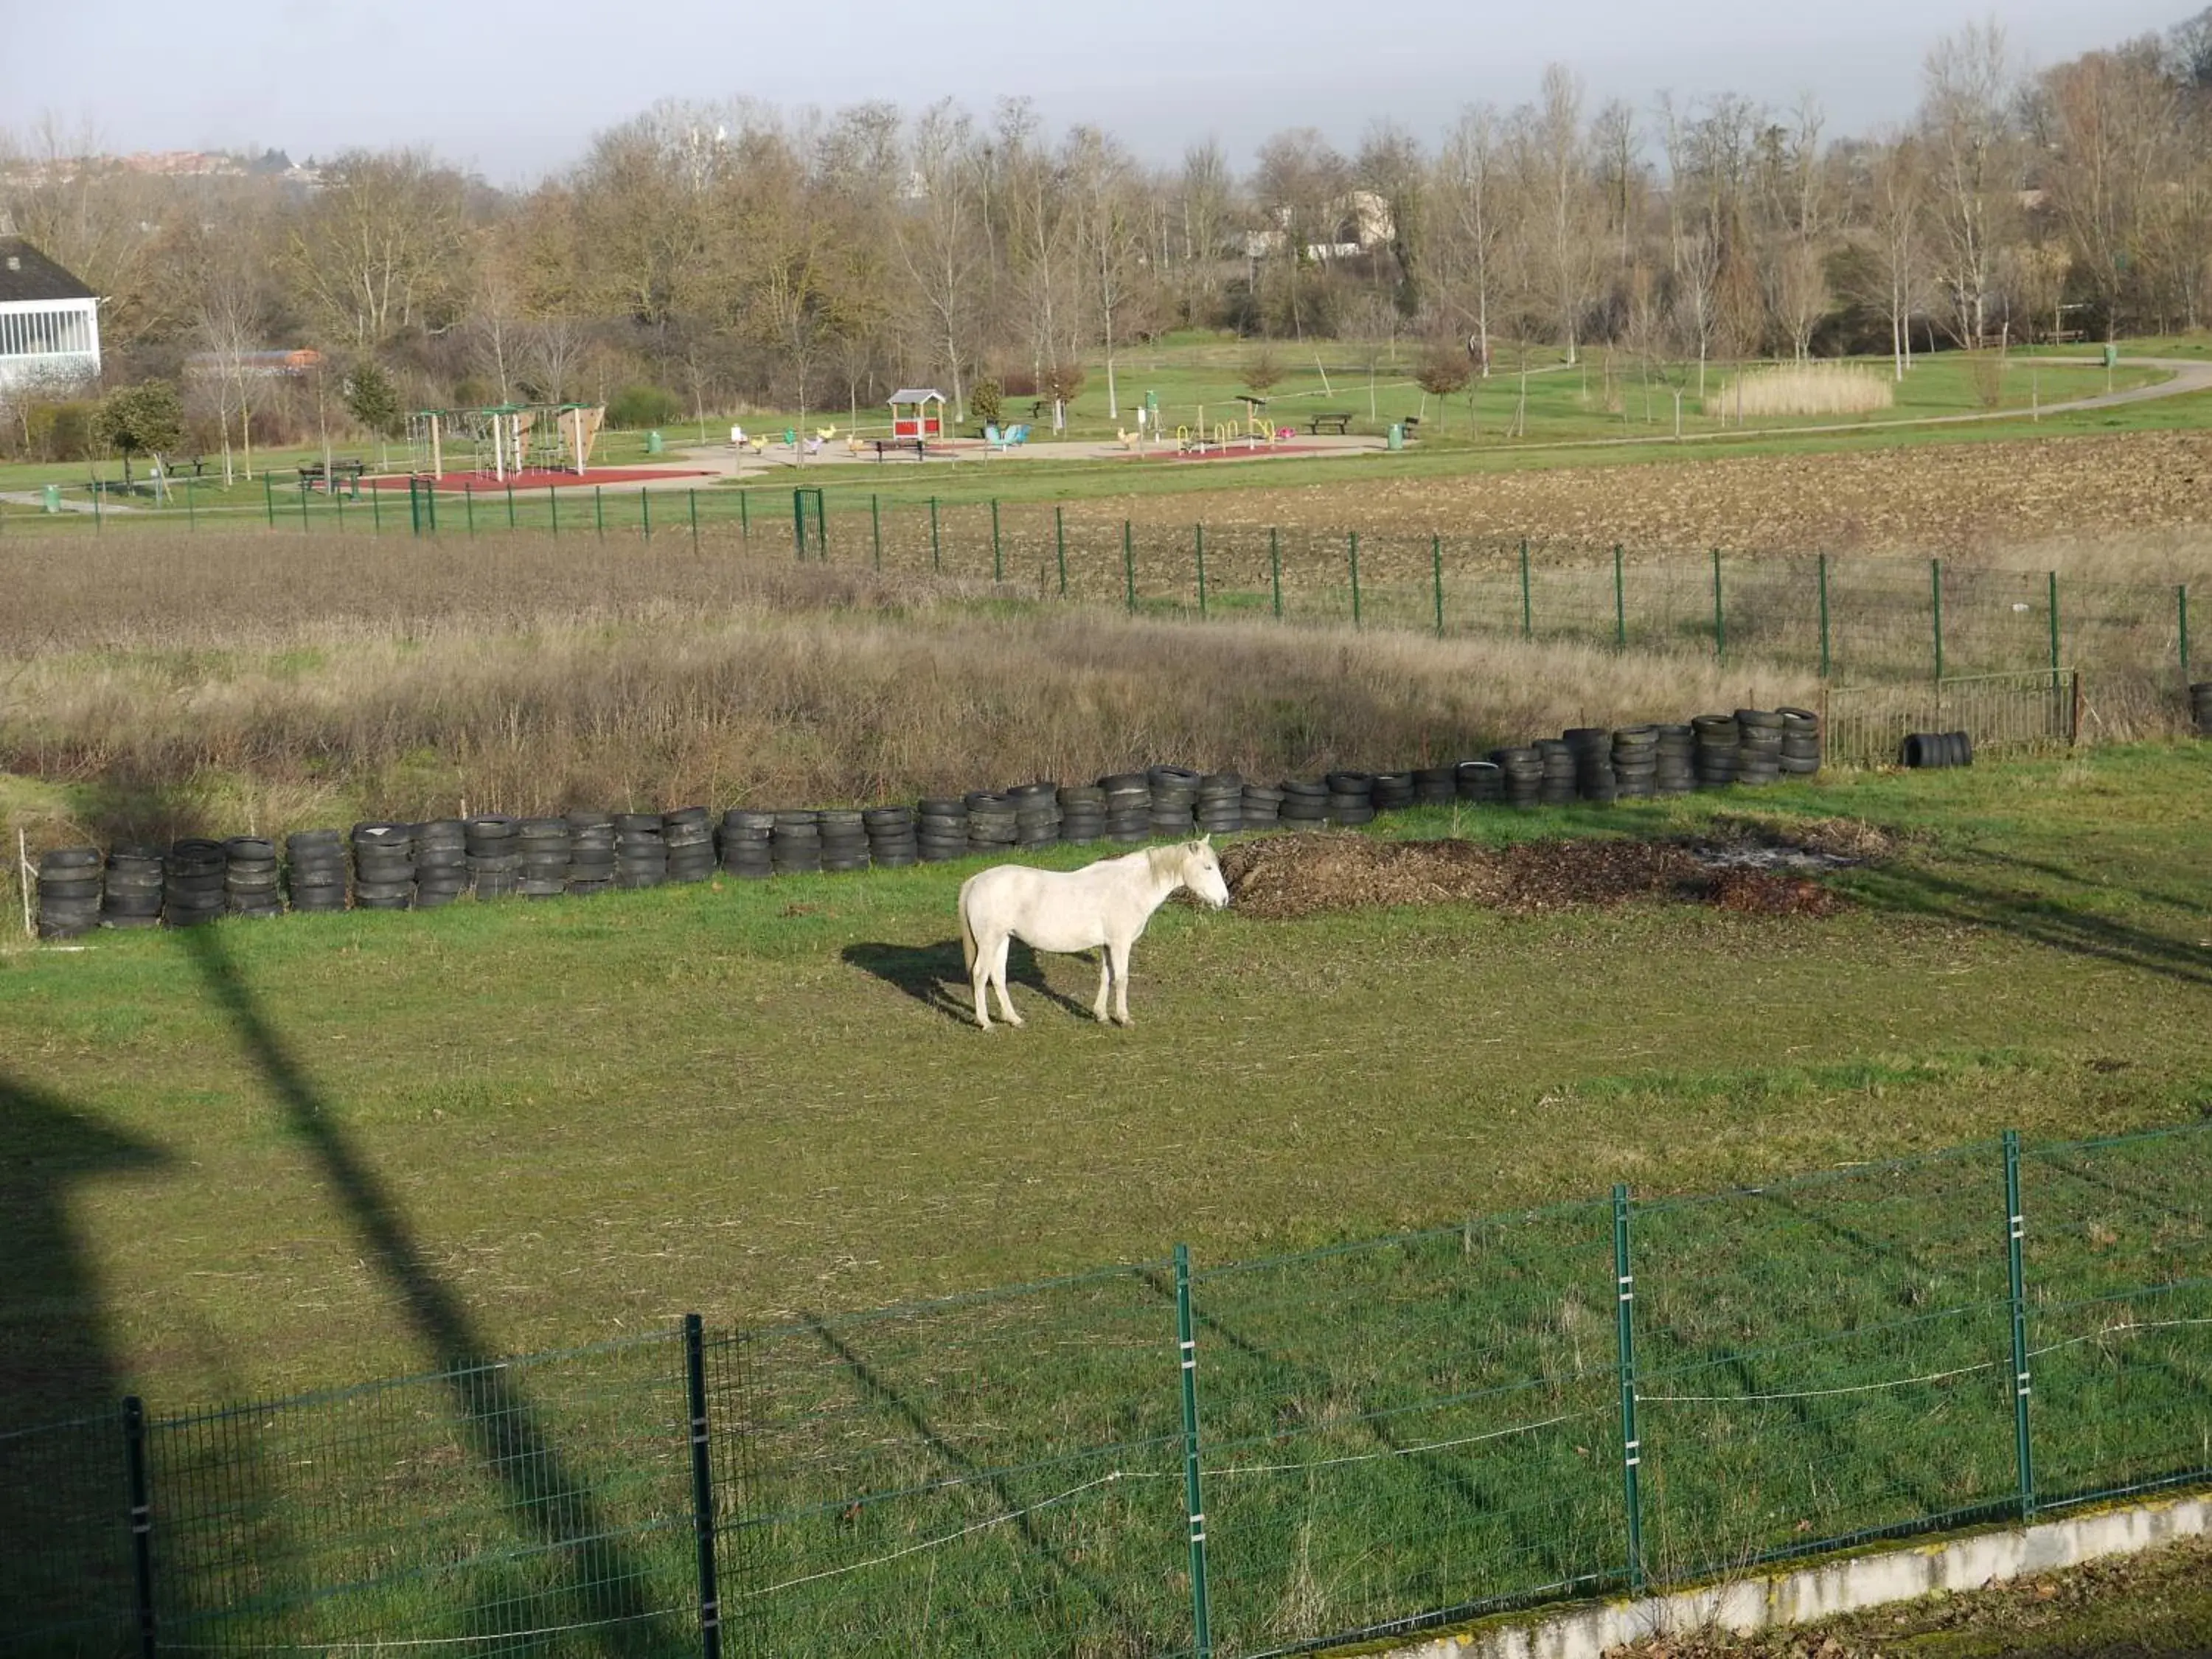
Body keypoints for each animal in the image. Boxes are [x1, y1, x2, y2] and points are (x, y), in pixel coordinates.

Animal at [956, 836, 1230, 1035]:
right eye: (1207, 867)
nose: (1225, 900)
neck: (1130, 887)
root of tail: (976, 880)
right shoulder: (1120, 944)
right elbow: (1121, 979)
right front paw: (1124, 1018)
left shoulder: (1108, 945)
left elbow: (1106, 977)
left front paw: (1102, 1015)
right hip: (989, 941)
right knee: (980, 975)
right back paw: (986, 1023)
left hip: (1002, 939)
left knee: (997, 976)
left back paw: (1014, 1019)